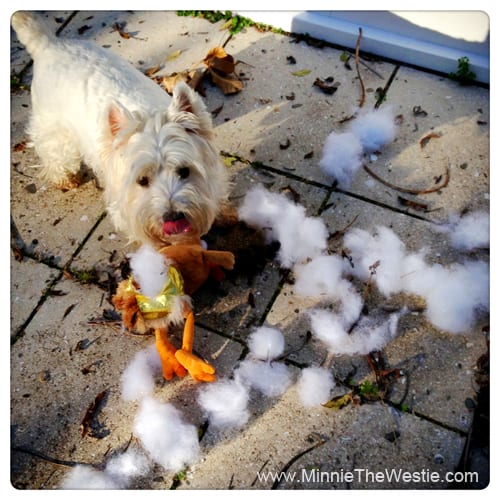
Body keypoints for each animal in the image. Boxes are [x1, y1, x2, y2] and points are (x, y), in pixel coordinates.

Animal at [10, 14, 229, 250]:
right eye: (142, 181)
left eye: (184, 171)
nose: (172, 217)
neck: (148, 117)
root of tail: (49, 43)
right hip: (54, 131)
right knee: (55, 156)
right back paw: (65, 179)